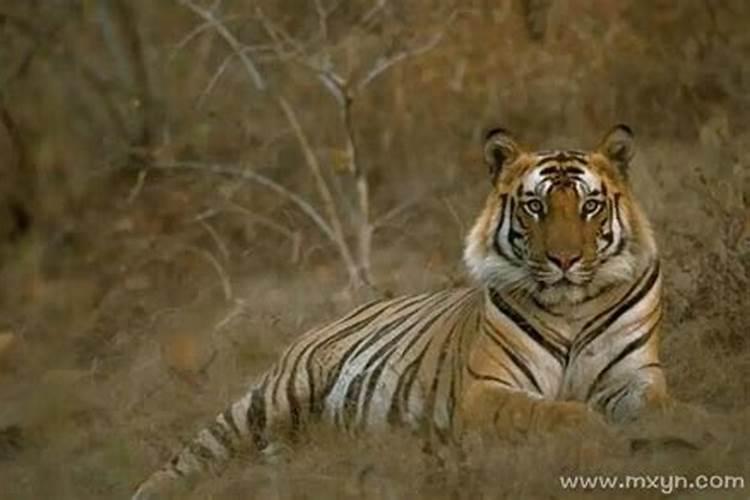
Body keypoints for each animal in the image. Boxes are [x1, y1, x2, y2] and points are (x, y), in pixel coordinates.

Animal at [133, 124, 681, 499]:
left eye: (589, 206)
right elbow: (556, 412)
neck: (570, 307)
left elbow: (658, 405)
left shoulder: (635, 374)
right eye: (535, 207)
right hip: (269, 402)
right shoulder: (485, 390)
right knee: (189, 458)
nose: (564, 260)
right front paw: (597, 431)